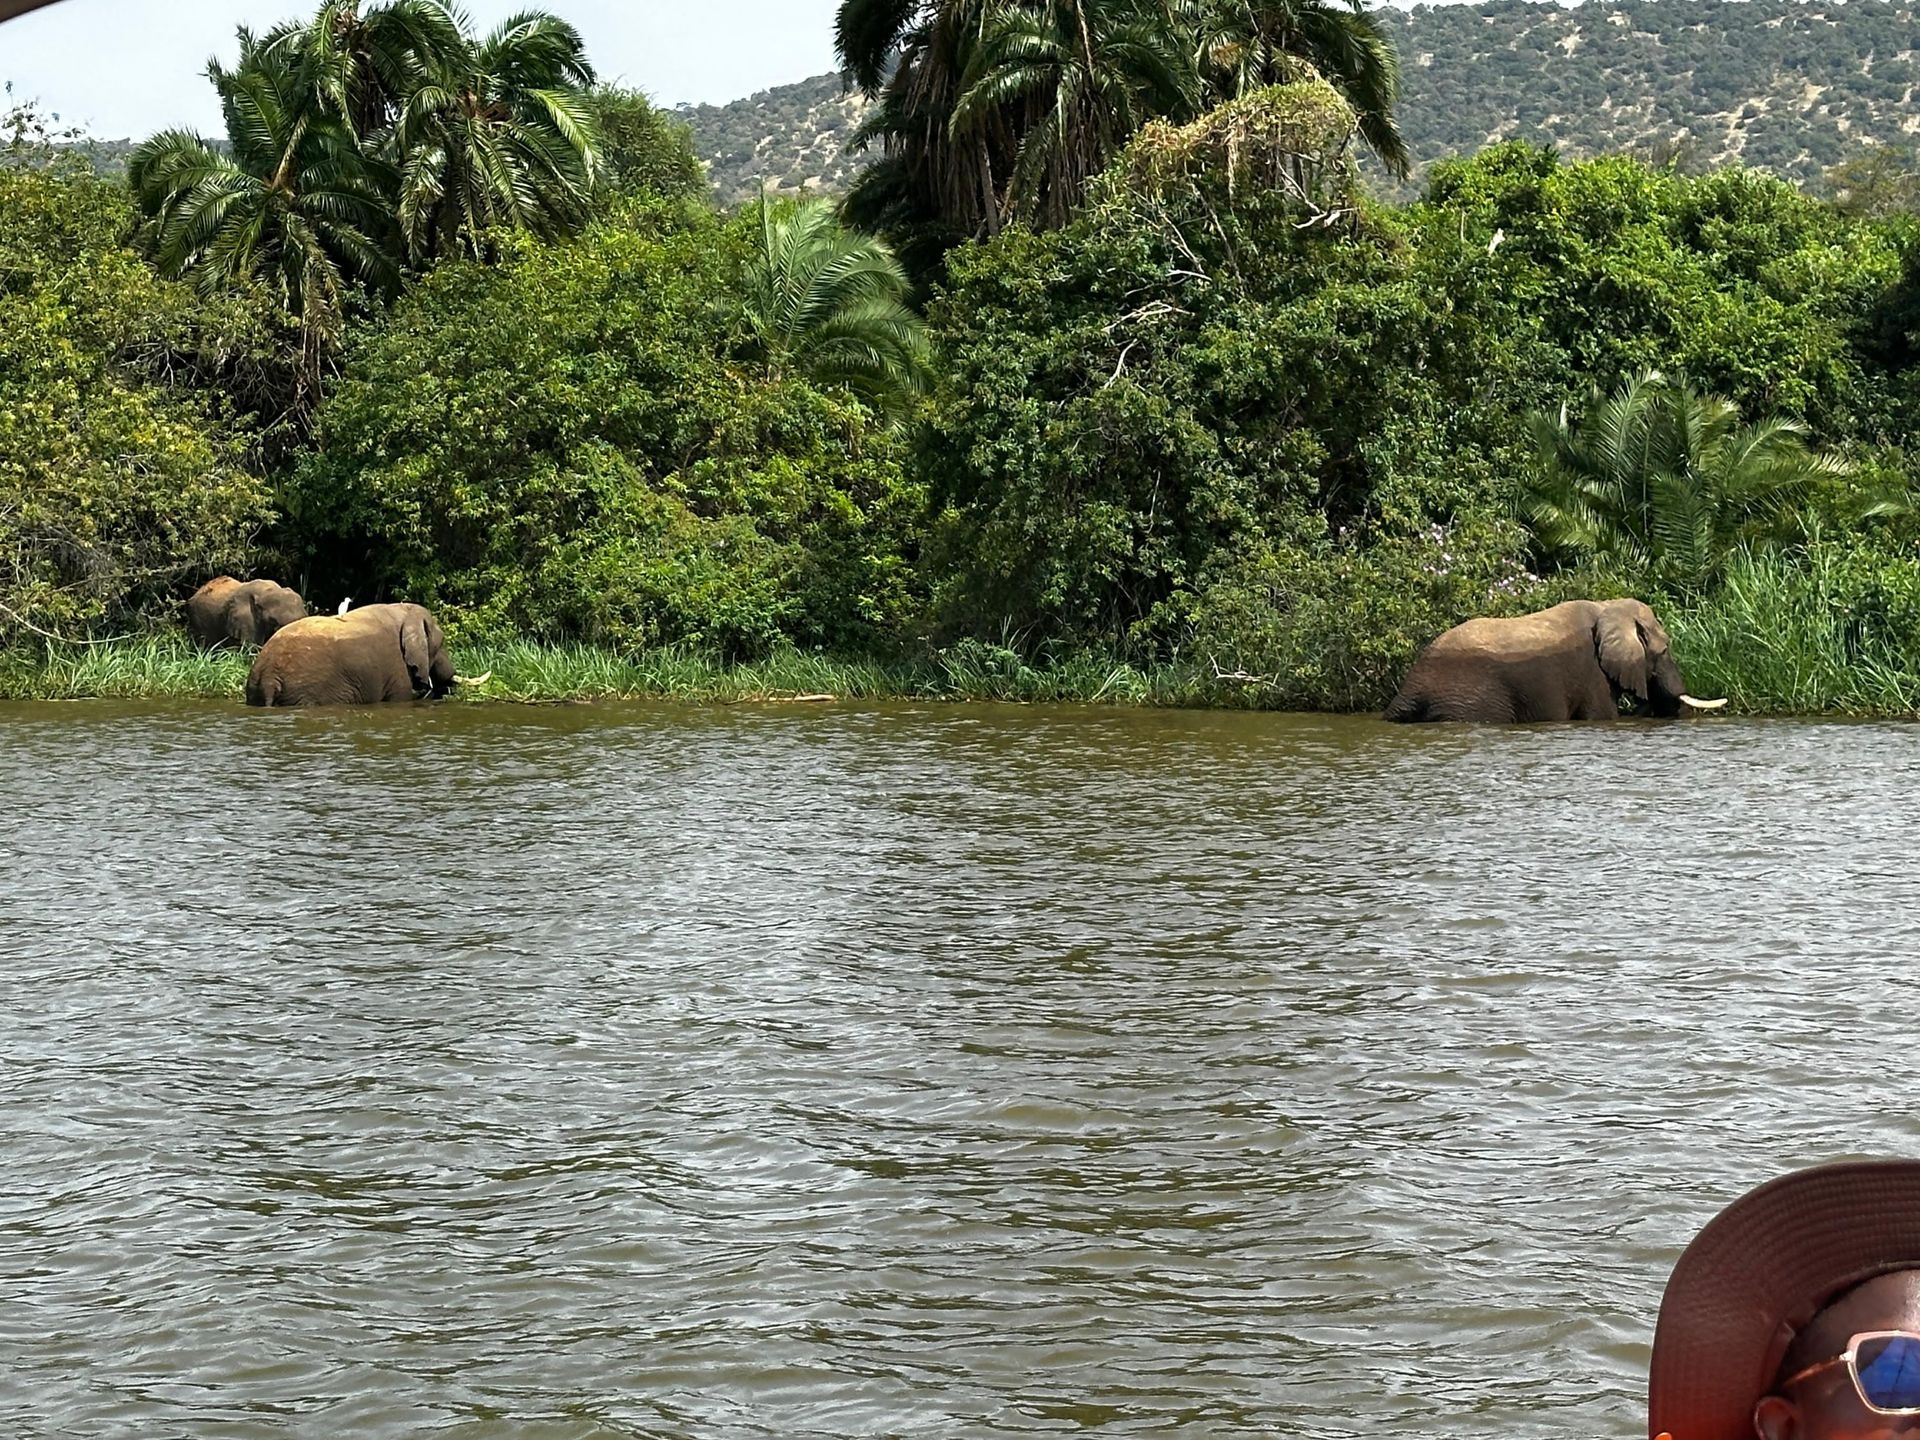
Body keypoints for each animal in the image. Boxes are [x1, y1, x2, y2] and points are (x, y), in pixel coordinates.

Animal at [245, 602, 467, 707]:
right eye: (443, 643)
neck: (405, 611)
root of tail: (269, 678)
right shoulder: (397, 666)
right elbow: (400, 697)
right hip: (307, 690)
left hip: (255, 689)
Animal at [1383, 598, 1727, 724]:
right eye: (1666, 649)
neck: (1607, 606)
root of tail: (1409, 689)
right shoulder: (1591, 672)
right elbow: (1601, 715)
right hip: (1466, 702)